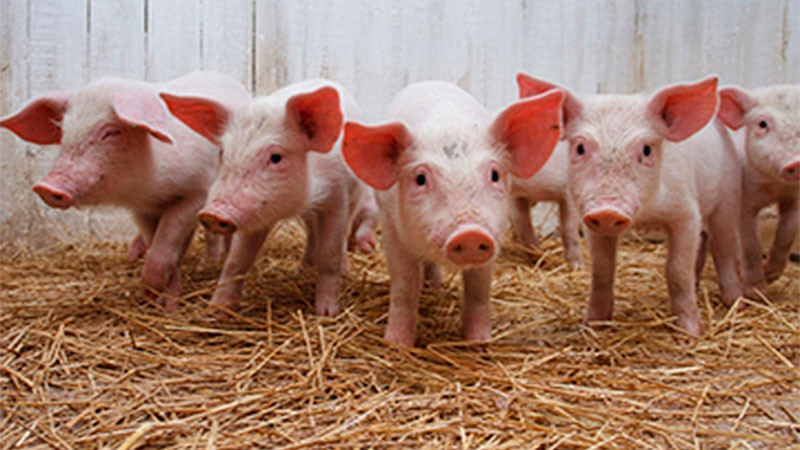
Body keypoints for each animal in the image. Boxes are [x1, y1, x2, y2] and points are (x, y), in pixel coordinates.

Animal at [0, 72, 251, 309]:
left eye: (111, 132)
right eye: (64, 131)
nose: (45, 187)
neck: (150, 189)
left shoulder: (197, 192)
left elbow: (164, 245)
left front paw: (160, 299)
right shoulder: (141, 209)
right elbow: (157, 242)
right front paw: (163, 301)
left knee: (211, 233)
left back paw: (207, 266)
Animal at [160, 79, 377, 317]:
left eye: (276, 157)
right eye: (222, 153)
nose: (213, 213)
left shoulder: (337, 197)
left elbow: (330, 253)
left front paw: (326, 313)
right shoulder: (256, 214)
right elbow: (237, 260)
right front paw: (216, 310)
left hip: (355, 196)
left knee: (343, 233)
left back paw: (341, 270)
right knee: (312, 232)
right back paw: (303, 270)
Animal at [342, 81, 564, 346]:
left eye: (495, 174)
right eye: (420, 178)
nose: (470, 233)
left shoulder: (492, 236)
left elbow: (479, 290)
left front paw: (479, 344)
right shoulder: (391, 229)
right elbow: (405, 285)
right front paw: (397, 344)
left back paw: (436, 288)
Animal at [717, 85, 800, 294]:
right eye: (762, 124)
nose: (796, 161)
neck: (774, 184)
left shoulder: (795, 196)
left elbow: (787, 233)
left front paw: (770, 274)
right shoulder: (743, 200)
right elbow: (750, 244)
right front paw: (756, 292)